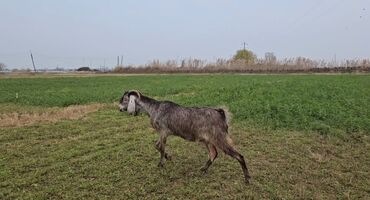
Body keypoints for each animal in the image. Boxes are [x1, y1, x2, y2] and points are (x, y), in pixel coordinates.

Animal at [118, 90, 251, 184]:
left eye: (124, 99)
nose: (119, 109)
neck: (154, 108)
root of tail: (221, 113)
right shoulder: (163, 133)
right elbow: (157, 146)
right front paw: (168, 157)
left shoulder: (163, 131)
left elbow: (161, 147)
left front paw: (161, 163)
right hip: (208, 140)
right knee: (213, 154)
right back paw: (203, 169)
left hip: (220, 138)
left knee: (239, 156)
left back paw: (247, 179)